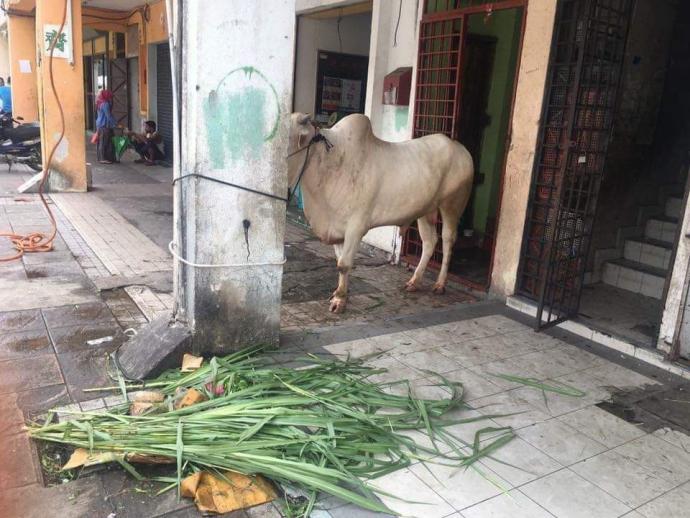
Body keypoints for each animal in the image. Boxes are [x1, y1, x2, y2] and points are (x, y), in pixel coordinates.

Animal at [286, 113, 472, 312]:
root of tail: (459, 148)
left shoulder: (356, 227)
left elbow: (343, 264)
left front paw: (339, 300)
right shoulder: (336, 228)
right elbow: (339, 260)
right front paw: (339, 293)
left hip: (451, 206)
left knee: (447, 241)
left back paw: (440, 284)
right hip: (425, 210)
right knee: (429, 241)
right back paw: (414, 282)